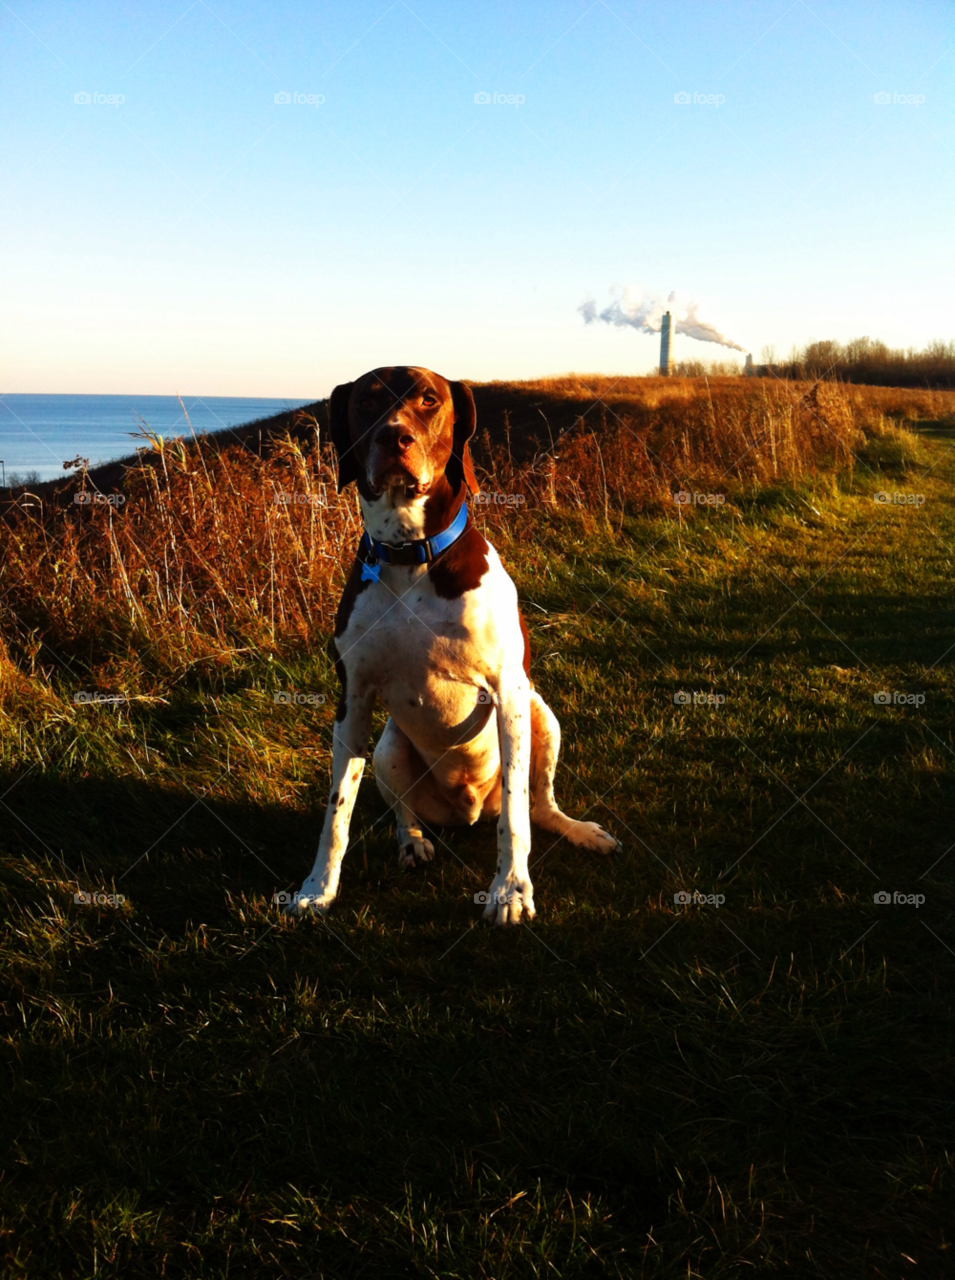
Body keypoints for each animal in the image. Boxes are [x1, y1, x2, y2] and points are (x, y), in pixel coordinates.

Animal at [286, 366, 617, 926]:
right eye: (367, 400)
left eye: (428, 399)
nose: (393, 437)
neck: (408, 556)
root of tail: (468, 810)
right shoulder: (352, 701)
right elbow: (337, 813)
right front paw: (317, 888)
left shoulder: (508, 692)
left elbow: (516, 815)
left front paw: (510, 890)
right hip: (388, 745)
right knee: (405, 812)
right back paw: (412, 843)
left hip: (540, 713)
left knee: (538, 805)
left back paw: (579, 831)